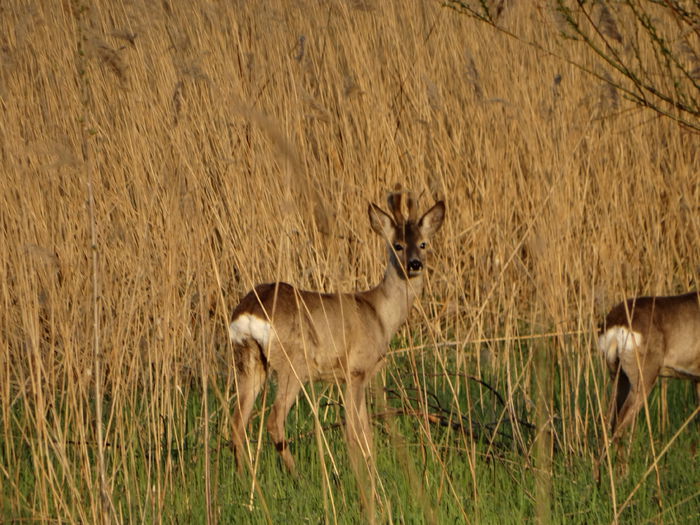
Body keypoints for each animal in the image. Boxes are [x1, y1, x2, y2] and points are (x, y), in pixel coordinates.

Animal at [230, 188, 448, 474]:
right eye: (397, 245)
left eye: (423, 244)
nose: (414, 264)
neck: (380, 313)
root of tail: (250, 311)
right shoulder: (356, 369)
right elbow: (353, 431)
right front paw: (361, 473)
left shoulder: (362, 375)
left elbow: (366, 431)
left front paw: (372, 467)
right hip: (293, 363)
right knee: (274, 420)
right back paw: (296, 474)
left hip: (248, 359)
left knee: (237, 421)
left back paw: (244, 476)